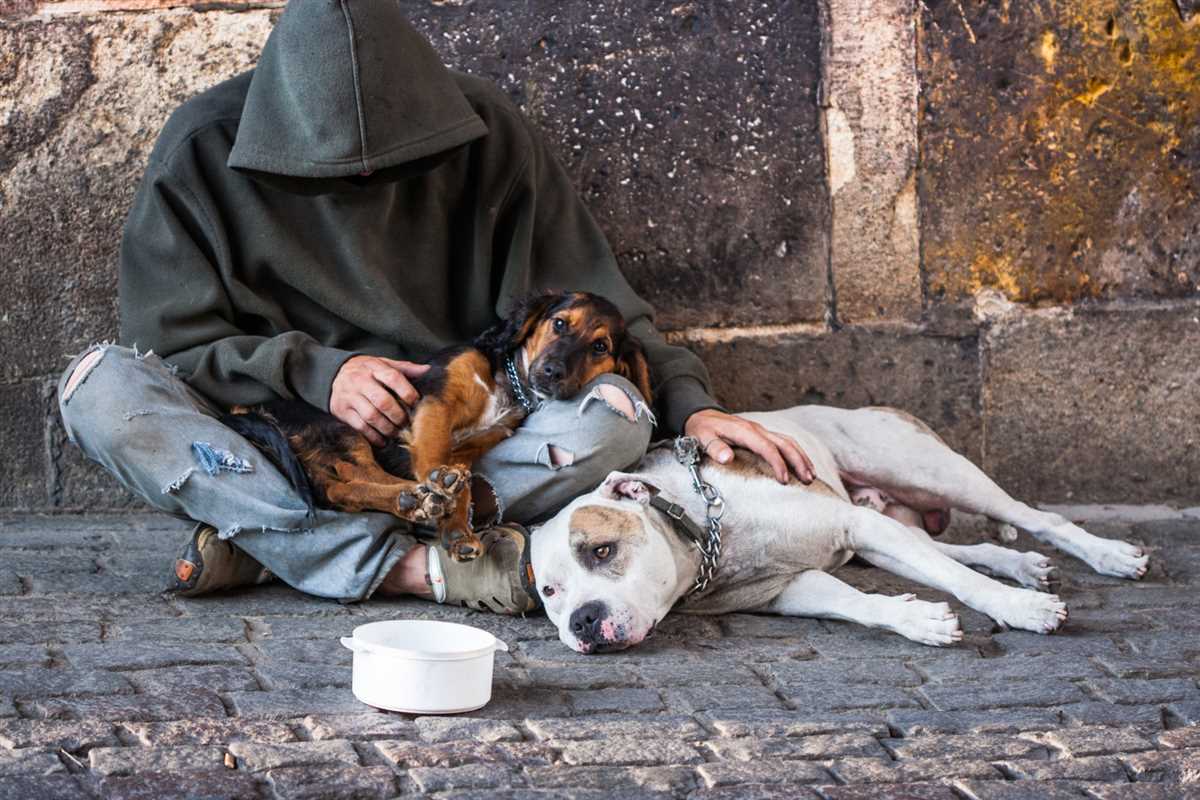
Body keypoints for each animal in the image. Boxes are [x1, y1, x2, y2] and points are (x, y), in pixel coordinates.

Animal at [225, 292, 657, 563]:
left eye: (600, 347)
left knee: (340, 488)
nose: (551, 373)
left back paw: (413, 501)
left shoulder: (477, 443)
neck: (508, 383)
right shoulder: (435, 402)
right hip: (342, 426)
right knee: (349, 475)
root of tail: (248, 408)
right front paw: (440, 486)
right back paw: (416, 497)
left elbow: (462, 481)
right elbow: (433, 453)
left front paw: (458, 531)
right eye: (560, 323)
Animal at [530, 402, 1147, 652]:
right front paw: (917, 619)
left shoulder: (854, 525)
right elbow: (858, 604)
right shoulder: (790, 588)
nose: (583, 621)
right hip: (889, 524)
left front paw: (1020, 610)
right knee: (958, 549)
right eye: (551, 593)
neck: (705, 536)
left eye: (602, 551)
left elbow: (964, 583)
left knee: (1035, 517)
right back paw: (1020, 565)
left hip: (933, 473)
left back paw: (1108, 555)